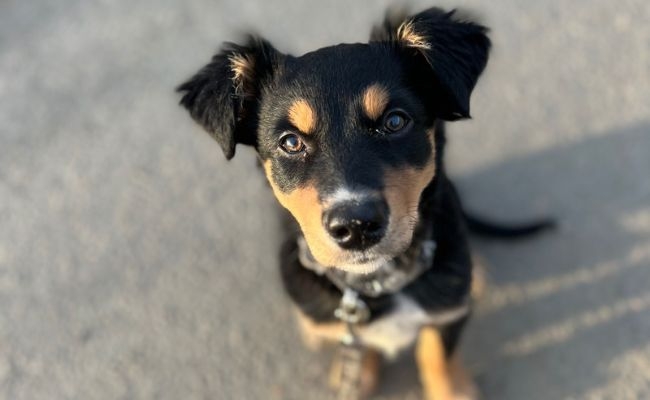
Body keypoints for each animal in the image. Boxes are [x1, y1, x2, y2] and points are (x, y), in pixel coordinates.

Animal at [178, 6, 552, 400]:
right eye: (290, 142)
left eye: (395, 121)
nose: (355, 227)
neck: (377, 282)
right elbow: (359, 343)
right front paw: (357, 375)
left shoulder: (446, 310)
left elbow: (435, 352)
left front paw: (451, 389)